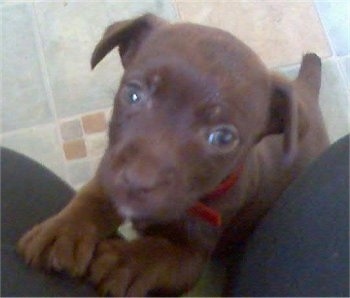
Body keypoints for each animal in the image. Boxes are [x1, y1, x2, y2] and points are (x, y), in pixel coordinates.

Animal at [17, 13, 328, 296]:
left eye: (223, 137)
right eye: (133, 94)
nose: (136, 181)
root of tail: (306, 91)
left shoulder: (193, 258)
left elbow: (161, 254)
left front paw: (124, 261)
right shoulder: (110, 168)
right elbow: (93, 195)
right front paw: (64, 231)